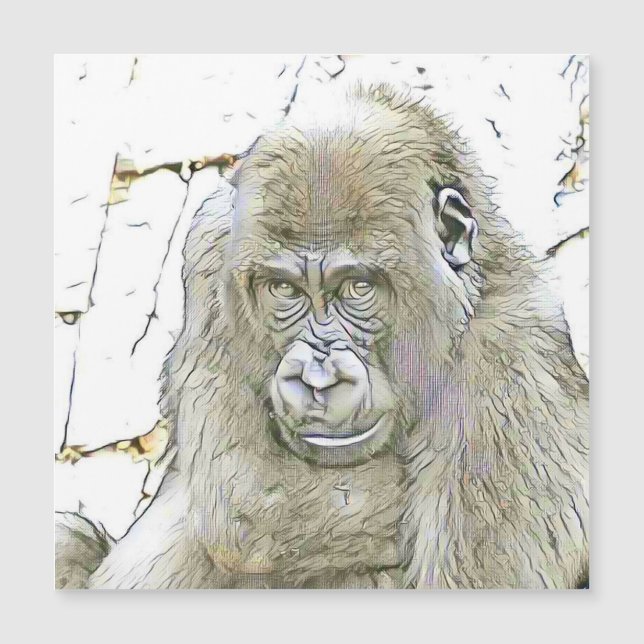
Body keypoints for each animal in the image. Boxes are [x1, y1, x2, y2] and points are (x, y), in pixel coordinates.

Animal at [56, 83, 589, 589]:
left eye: (358, 288)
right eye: (283, 289)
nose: (317, 378)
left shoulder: (511, 362)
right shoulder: (208, 248)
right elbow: (244, 494)